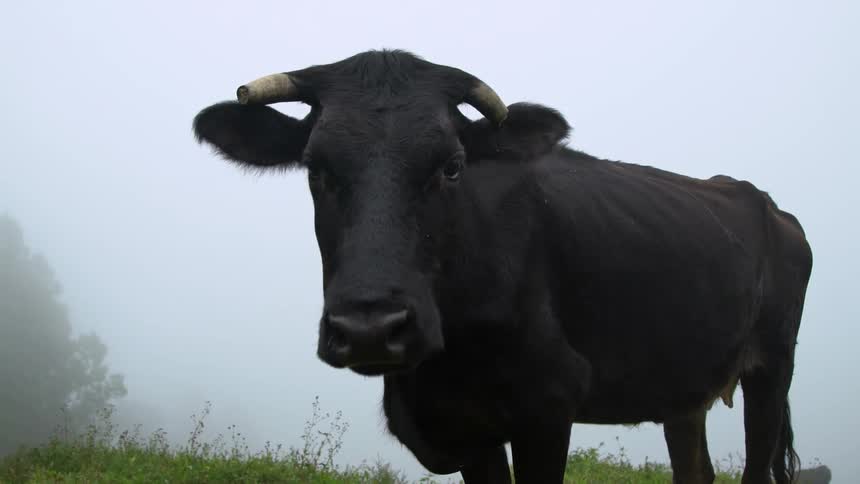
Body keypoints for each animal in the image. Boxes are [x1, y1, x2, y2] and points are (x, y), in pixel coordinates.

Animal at [192, 50, 813, 484]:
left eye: (452, 165)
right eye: (315, 167)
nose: (370, 330)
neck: (435, 371)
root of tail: (765, 202)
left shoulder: (549, 403)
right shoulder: (469, 430)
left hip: (772, 368)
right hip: (683, 388)